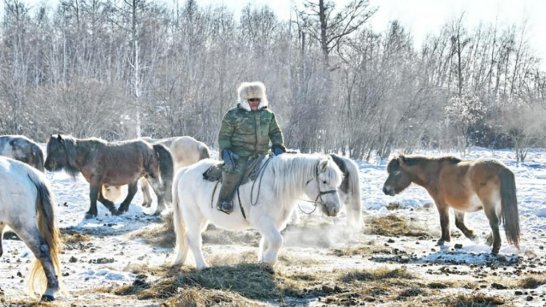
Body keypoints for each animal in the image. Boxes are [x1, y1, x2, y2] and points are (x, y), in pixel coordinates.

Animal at [44, 135, 172, 219]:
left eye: (57, 149)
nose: (46, 166)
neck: (87, 154)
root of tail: (152, 147)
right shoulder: (98, 181)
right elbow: (99, 197)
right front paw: (112, 208)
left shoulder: (95, 179)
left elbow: (93, 196)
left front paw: (91, 213)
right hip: (135, 177)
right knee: (134, 191)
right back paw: (123, 208)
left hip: (150, 175)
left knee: (159, 190)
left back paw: (157, 211)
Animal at [171, 154, 340, 270]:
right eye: (324, 181)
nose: (335, 209)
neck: (275, 185)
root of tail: (186, 171)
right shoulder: (263, 221)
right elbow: (277, 240)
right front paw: (268, 259)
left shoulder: (274, 223)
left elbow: (267, 241)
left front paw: (264, 261)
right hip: (193, 215)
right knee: (193, 239)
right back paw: (202, 266)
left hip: (202, 219)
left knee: (188, 238)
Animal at [380, 155, 516, 256]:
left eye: (396, 172)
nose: (385, 190)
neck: (434, 173)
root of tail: (502, 169)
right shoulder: (458, 206)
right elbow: (459, 224)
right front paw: (474, 236)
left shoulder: (441, 204)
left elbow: (444, 221)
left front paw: (443, 240)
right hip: (497, 206)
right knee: (496, 223)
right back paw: (489, 241)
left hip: (489, 205)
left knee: (493, 222)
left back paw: (495, 249)